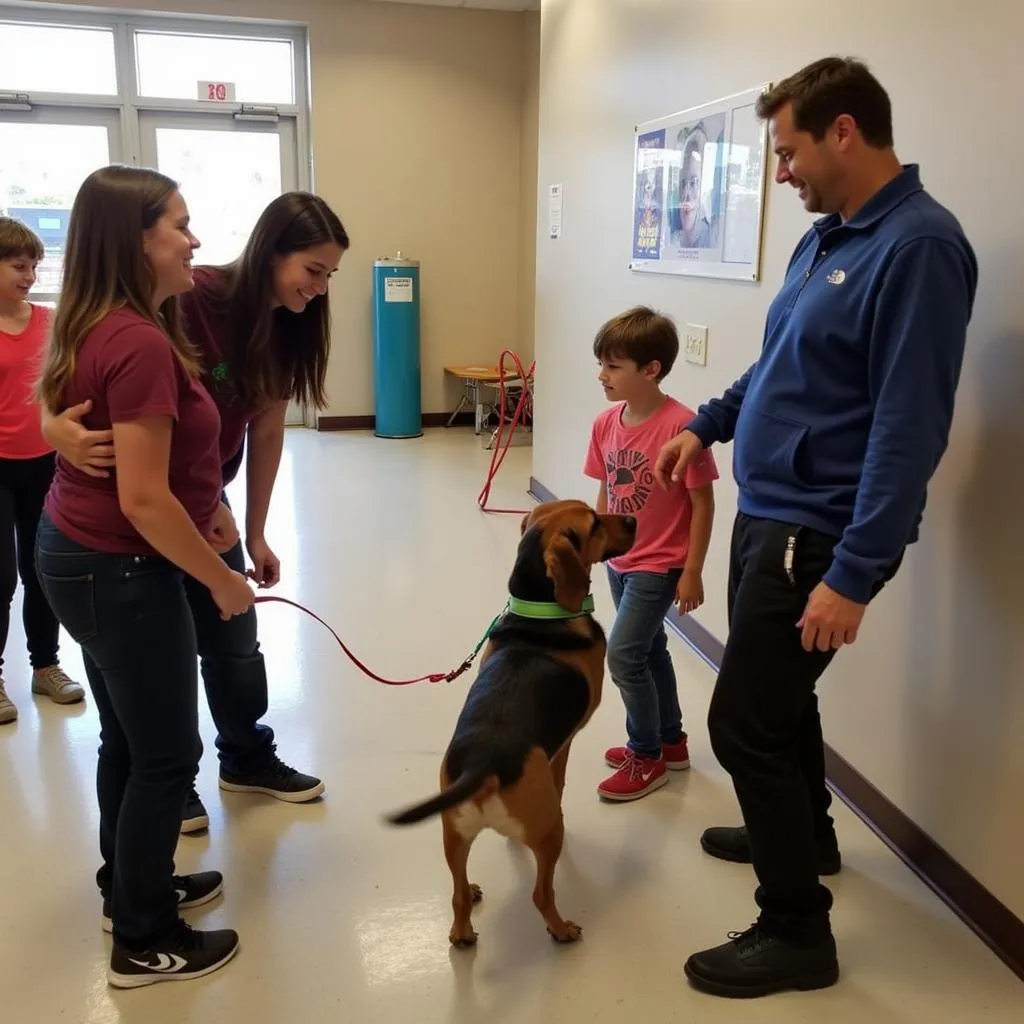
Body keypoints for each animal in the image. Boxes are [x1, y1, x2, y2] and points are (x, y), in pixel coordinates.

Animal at [387, 499, 634, 946]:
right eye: (594, 523)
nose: (633, 519)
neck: (541, 615)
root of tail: (482, 765)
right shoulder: (565, 743)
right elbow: (560, 780)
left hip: (453, 833)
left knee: (457, 894)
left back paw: (464, 925)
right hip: (546, 835)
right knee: (540, 894)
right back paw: (561, 928)